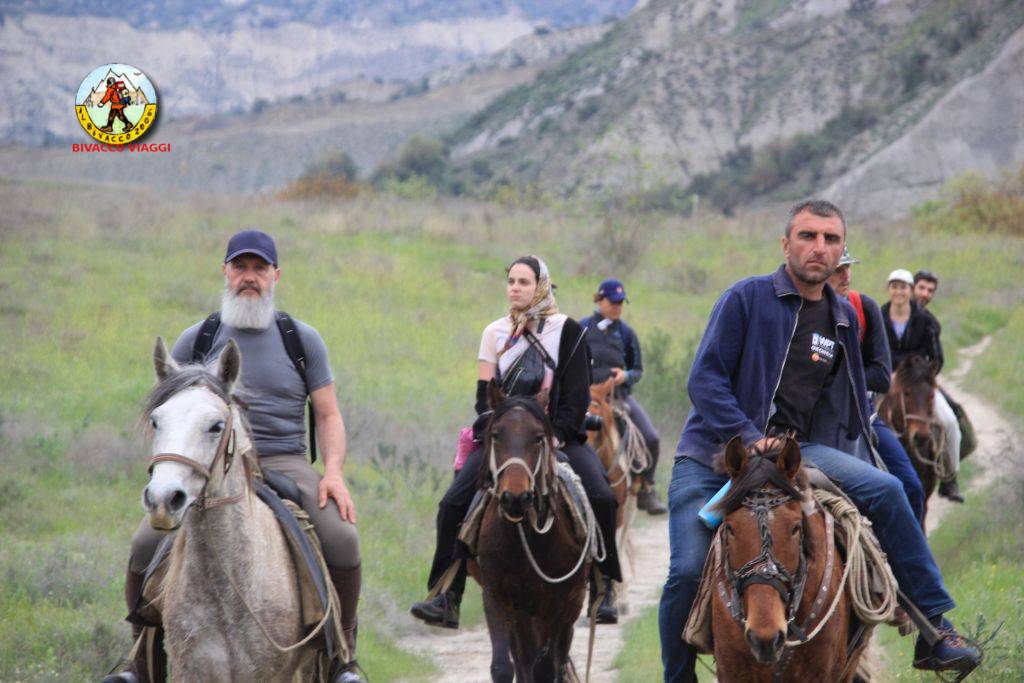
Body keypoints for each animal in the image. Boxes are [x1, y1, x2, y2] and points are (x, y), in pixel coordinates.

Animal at [468, 382, 589, 679]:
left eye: (538, 438)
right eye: (496, 435)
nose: (515, 497)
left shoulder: (560, 602)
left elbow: (547, 667)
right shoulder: (496, 597)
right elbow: (504, 667)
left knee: (555, 657)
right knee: (524, 657)